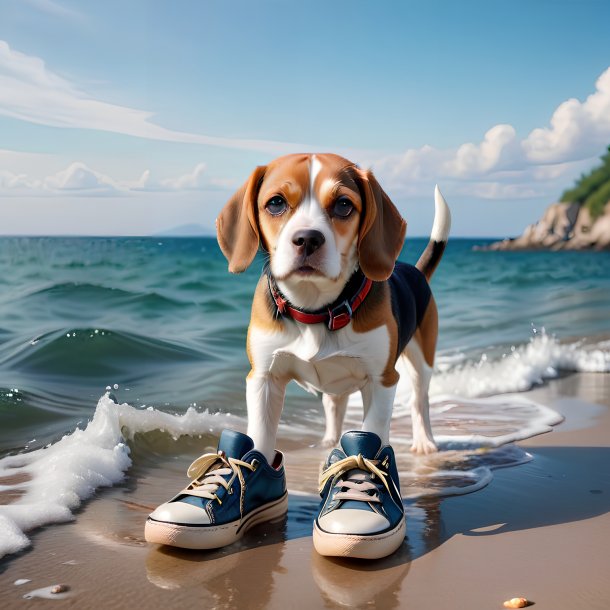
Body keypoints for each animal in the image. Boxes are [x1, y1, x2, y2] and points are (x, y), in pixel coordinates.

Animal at [216, 152, 448, 460]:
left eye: (343, 205)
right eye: (276, 202)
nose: (307, 239)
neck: (314, 311)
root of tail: (416, 271)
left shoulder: (381, 380)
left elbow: (372, 434)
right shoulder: (263, 378)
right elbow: (261, 439)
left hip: (422, 360)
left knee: (419, 401)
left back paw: (424, 441)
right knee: (334, 404)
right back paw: (329, 441)